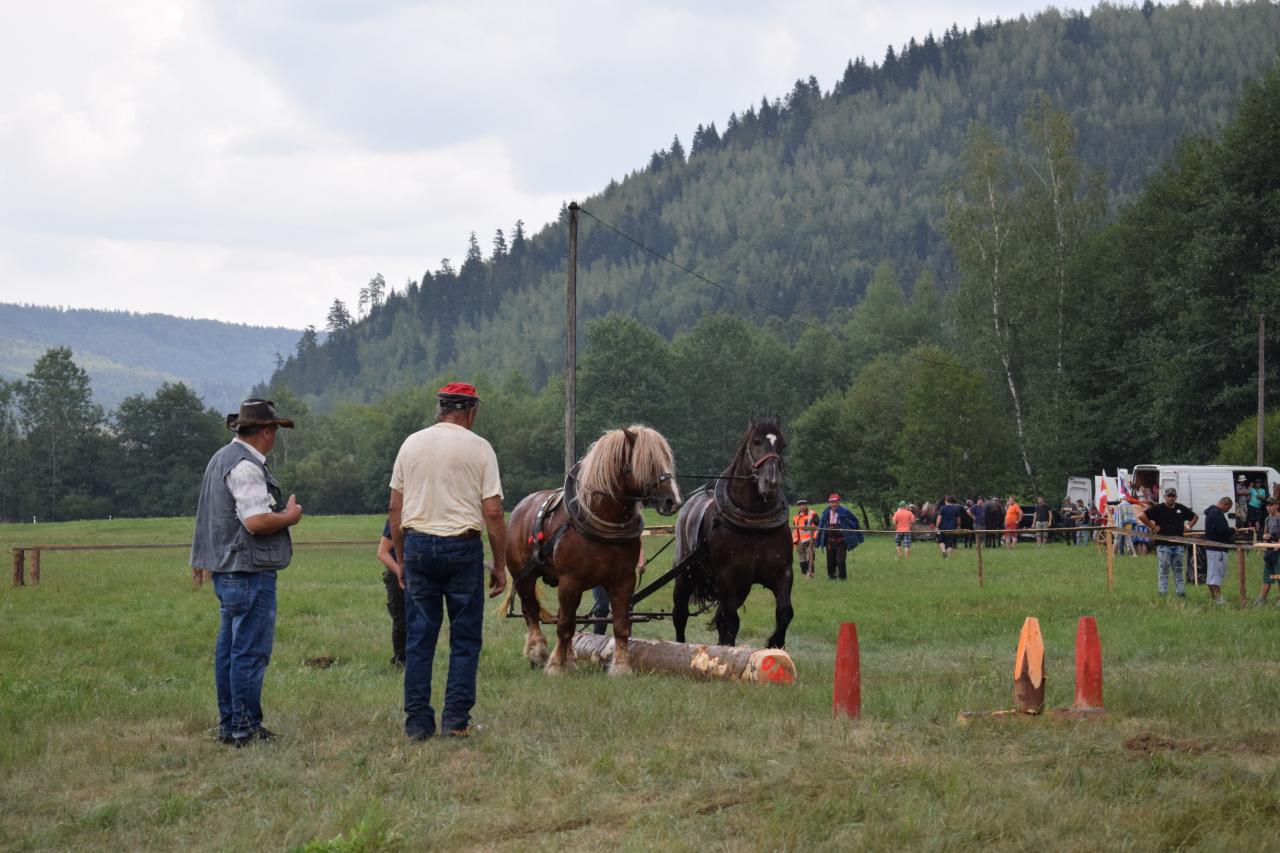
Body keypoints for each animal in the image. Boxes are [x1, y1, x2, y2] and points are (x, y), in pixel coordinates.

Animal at [503, 425, 681, 676]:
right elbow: (565, 626)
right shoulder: (570, 581)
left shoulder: (623, 581)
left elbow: (620, 626)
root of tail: (521, 507)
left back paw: (569, 658)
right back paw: (538, 652)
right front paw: (555, 667)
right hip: (526, 577)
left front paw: (621, 667)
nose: (673, 501)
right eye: (647, 462)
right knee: (532, 612)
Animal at [672, 416, 793, 649]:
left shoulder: (782, 572)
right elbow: (730, 622)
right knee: (680, 614)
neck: (754, 520)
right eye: (756, 442)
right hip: (686, 574)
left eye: (782, 445)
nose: (771, 481)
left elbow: (784, 612)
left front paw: (775, 643)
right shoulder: (727, 577)